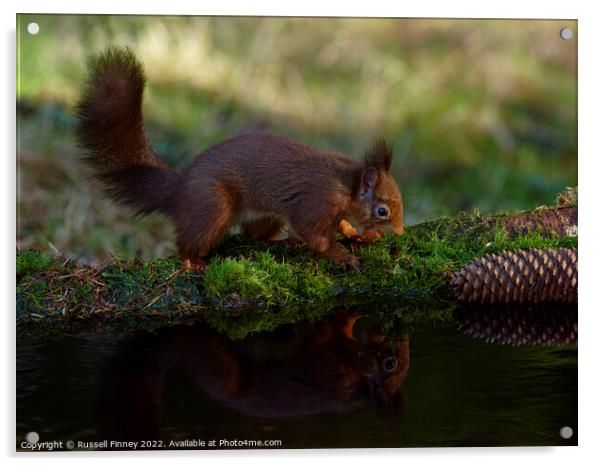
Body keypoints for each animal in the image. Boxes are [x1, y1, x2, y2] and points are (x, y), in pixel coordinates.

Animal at [75, 47, 404, 272]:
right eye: (383, 210)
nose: (399, 232)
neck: (347, 185)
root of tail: (180, 189)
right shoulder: (318, 200)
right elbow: (313, 232)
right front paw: (343, 257)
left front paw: (356, 235)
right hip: (213, 205)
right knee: (191, 237)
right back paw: (192, 260)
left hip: (265, 215)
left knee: (252, 235)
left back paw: (281, 241)